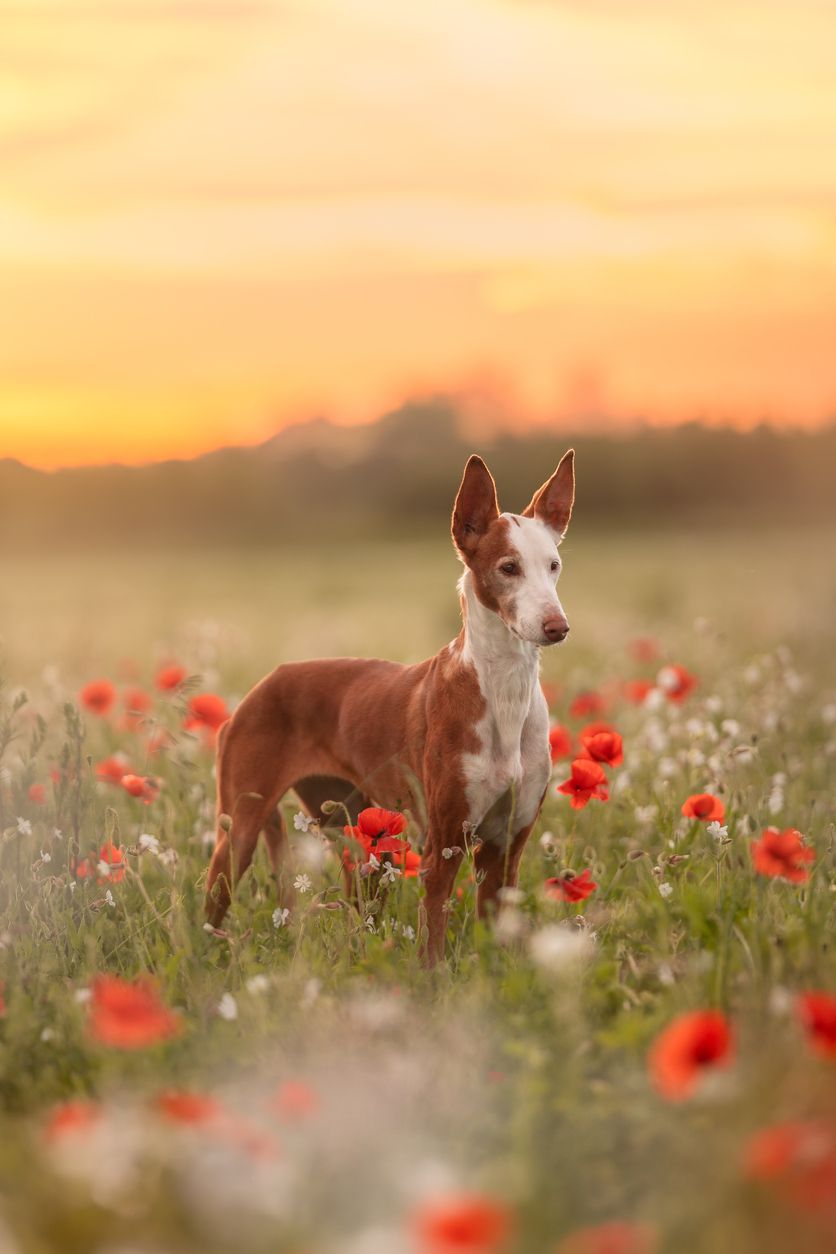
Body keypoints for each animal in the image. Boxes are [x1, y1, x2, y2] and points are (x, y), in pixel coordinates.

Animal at [206, 446, 576, 963]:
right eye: (508, 567)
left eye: (554, 565)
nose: (557, 626)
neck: (503, 692)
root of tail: (261, 686)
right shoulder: (443, 845)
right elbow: (432, 945)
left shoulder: (507, 846)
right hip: (238, 832)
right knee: (210, 908)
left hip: (361, 837)